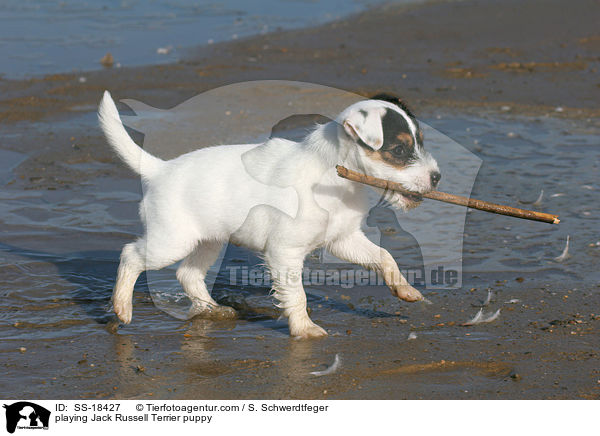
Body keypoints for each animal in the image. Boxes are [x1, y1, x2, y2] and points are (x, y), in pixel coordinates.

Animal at [98, 90, 440, 338]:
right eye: (399, 150)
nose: (436, 177)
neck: (333, 176)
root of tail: (160, 169)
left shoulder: (343, 239)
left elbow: (384, 257)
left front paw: (405, 289)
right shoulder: (284, 252)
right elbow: (297, 295)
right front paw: (304, 330)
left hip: (209, 241)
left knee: (188, 274)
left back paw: (214, 309)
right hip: (171, 241)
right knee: (131, 255)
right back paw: (122, 307)